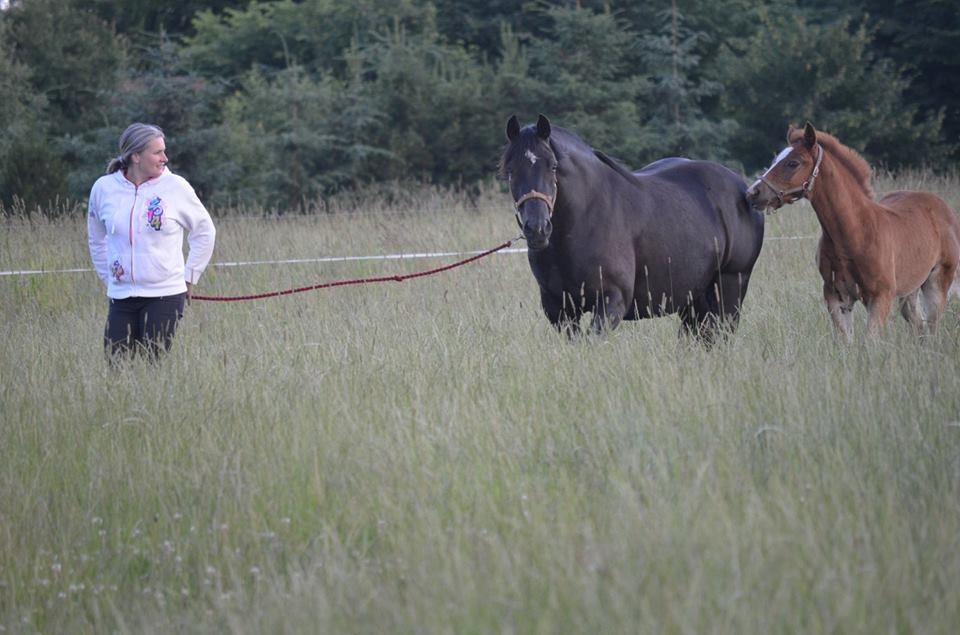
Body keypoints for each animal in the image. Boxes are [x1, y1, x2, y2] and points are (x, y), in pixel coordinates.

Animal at [502, 116, 764, 340]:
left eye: (553, 167)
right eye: (511, 170)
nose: (537, 228)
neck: (584, 218)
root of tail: (745, 190)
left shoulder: (612, 301)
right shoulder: (559, 308)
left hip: (731, 286)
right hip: (694, 298)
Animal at [748, 125, 960, 342]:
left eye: (793, 163)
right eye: (775, 160)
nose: (752, 193)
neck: (854, 232)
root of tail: (946, 209)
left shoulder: (880, 297)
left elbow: (870, 341)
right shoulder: (836, 296)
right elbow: (845, 340)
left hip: (937, 283)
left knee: (932, 327)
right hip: (910, 290)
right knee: (919, 325)